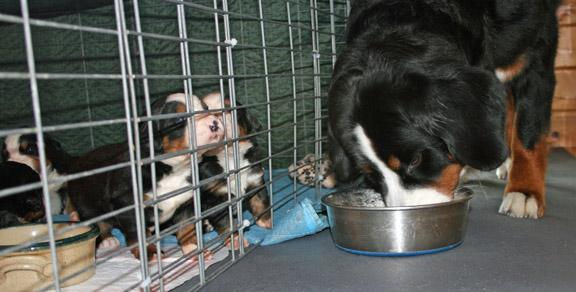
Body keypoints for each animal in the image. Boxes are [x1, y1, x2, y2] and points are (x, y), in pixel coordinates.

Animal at [66, 93, 223, 260]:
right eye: (180, 119)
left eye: (206, 108)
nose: (214, 123)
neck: (172, 169)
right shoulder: (128, 204)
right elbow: (139, 234)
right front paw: (151, 252)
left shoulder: (185, 203)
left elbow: (187, 229)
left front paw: (195, 251)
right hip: (86, 204)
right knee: (97, 222)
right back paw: (107, 239)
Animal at [170, 92, 272, 250]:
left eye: (230, 108)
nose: (216, 116)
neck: (229, 157)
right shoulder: (215, 198)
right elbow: (226, 222)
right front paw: (235, 240)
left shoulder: (255, 179)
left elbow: (261, 202)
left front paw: (267, 223)